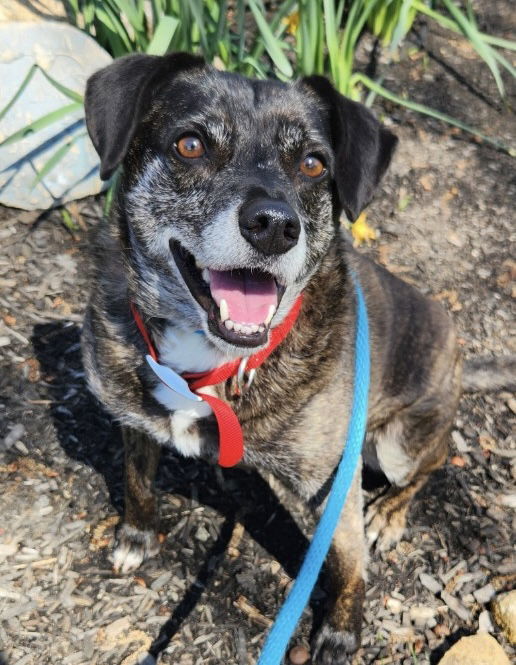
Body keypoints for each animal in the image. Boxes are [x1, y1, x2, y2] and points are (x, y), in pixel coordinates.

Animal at [80, 53, 512, 664]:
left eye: (312, 163)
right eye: (190, 145)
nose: (274, 226)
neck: (216, 364)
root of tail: (457, 357)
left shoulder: (332, 482)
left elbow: (347, 560)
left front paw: (342, 633)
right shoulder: (134, 418)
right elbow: (138, 480)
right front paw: (136, 537)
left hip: (397, 443)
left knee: (432, 463)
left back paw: (390, 512)